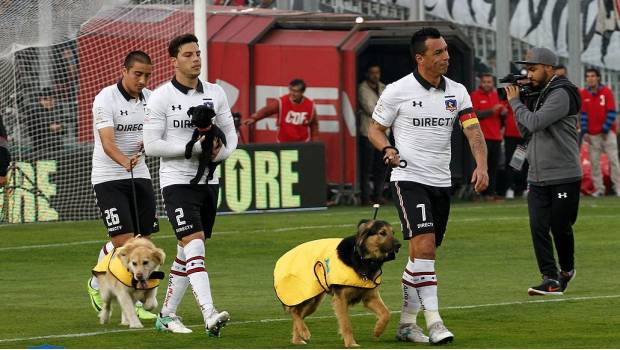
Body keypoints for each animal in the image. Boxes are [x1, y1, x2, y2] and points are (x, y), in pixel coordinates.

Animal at [274, 220, 402, 346]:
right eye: (382, 233)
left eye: (393, 232)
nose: (399, 245)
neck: (362, 258)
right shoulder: (340, 299)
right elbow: (346, 324)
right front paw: (351, 344)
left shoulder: (370, 297)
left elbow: (386, 313)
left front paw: (378, 330)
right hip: (306, 295)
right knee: (294, 311)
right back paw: (304, 332)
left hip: (314, 301)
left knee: (299, 315)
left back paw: (297, 338)